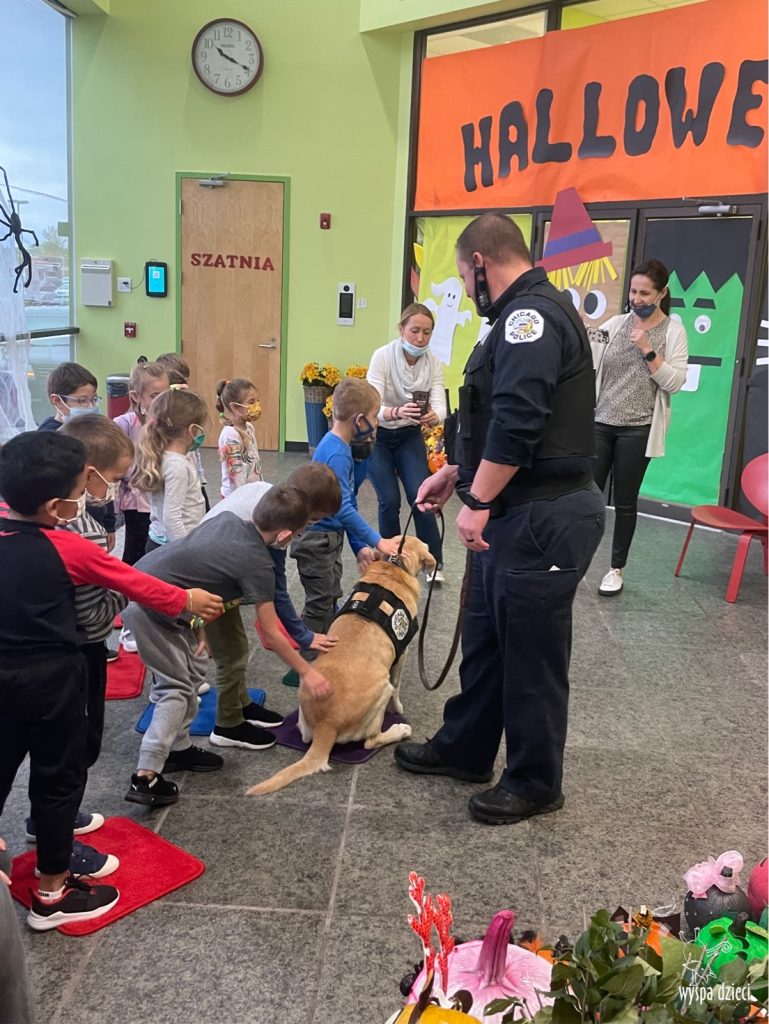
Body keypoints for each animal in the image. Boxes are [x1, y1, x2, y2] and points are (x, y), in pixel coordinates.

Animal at [246, 535, 436, 795]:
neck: (393, 566)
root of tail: (327, 726)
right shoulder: (403, 653)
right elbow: (397, 686)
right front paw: (398, 709)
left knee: (305, 737)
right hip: (382, 689)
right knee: (371, 740)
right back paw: (399, 730)